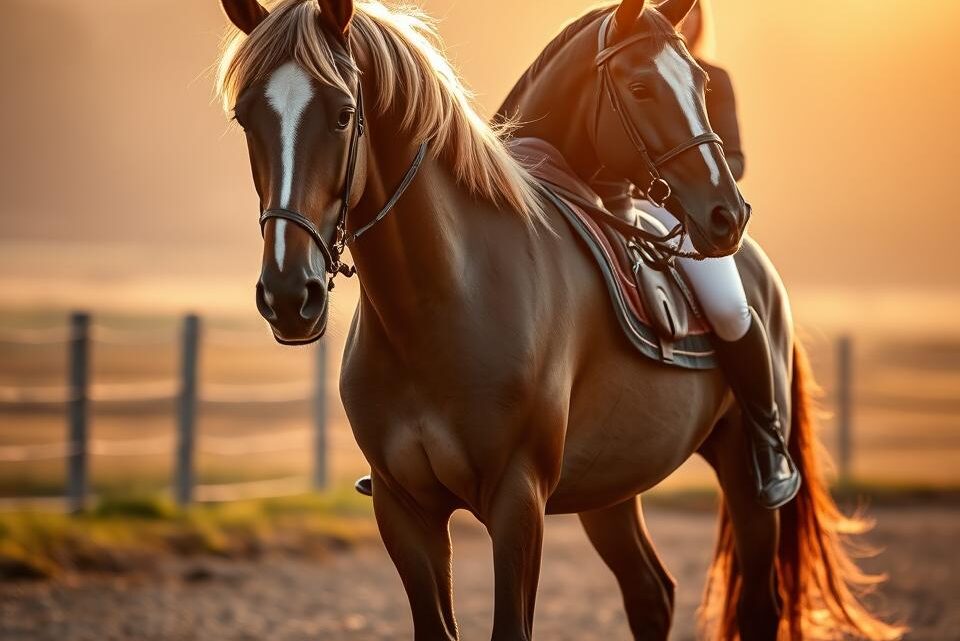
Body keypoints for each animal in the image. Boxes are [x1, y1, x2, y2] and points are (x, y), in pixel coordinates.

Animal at [212, 1, 901, 639]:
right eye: (246, 116)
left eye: (342, 113)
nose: (288, 293)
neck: (441, 300)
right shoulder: (403, 506)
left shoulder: (518, 500)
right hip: (611, 487)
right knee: (651, 593)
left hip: (744, 477)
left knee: (758, 602)